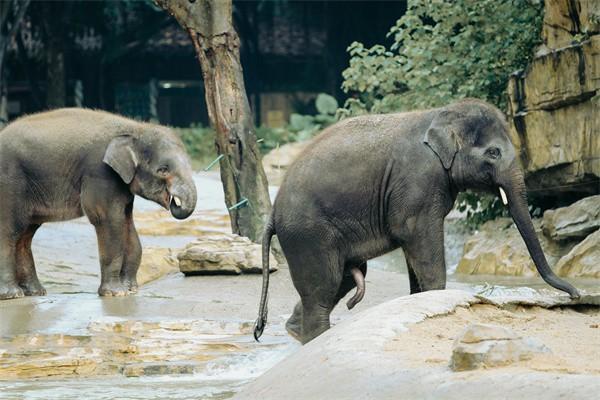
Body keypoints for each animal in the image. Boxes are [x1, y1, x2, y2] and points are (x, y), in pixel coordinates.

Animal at [0, 108, 197, 298]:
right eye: (163, 170)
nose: (174, 201)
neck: (135, 128)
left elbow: (127, 222)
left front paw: (131, 290)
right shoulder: (100, 172)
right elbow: (107, 219)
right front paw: (115, 293)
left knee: (25, 234)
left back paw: (35, 292)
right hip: (9, 182)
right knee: (10, 230)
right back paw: (13, 295)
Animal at [254, 97, 580, 344]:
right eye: (493, 152)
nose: (576, 295)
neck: (440, 113)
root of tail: (273, 213)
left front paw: (418, 299)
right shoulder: (418, 180)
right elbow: (416, 235)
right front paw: (437, 297)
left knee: (342, 281)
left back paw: (295, 332)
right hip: (308, 233)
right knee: (324, 287)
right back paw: (315, 338)